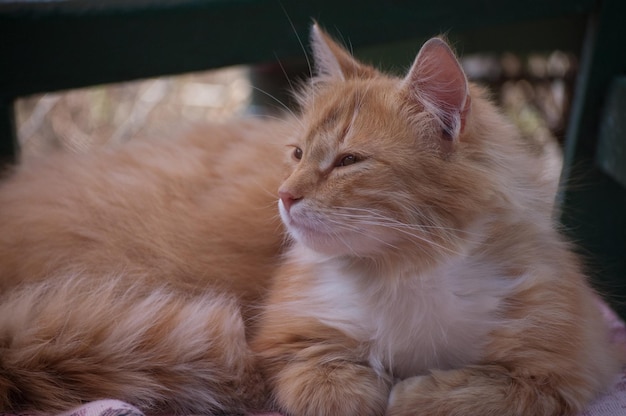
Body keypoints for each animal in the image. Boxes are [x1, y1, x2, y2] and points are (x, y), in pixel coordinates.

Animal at [0, 23, 616, 416]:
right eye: (297, 154)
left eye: (347, 161)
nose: (284, 195)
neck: (407, 270)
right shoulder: (286, 342)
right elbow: (333, 386)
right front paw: (380, 391)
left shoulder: (563, 366)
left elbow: (486, 393)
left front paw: (415, 393)